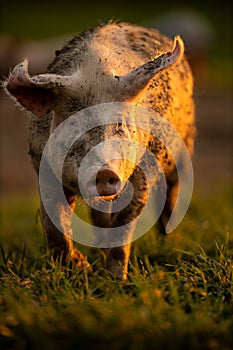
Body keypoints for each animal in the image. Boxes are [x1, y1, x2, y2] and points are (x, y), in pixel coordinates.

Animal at [4, 21, 196, 278]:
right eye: (74, 124)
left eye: (120, 125)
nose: (104, 172)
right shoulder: (42, 167)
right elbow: (56, 227)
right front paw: (79, 269)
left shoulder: (141, 176)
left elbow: (123, 228)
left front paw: (116, 279)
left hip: (183, 149)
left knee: (172, 194)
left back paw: (167, 241)